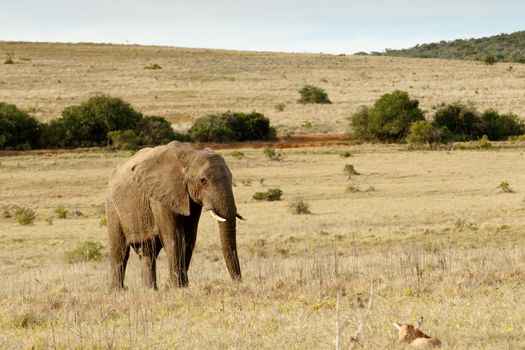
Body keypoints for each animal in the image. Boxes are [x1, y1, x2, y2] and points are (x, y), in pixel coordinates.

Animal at [107, 140, 246, 290]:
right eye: (203, 181)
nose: (238, 282)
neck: (189, 155)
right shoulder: (161, 193)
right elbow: (174, 236)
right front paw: (176, 287)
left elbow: (189, 237)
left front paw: (181, 286)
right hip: (112, 206)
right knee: (119, 251)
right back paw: (118, 291)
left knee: (148, 252)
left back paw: (150, 290)